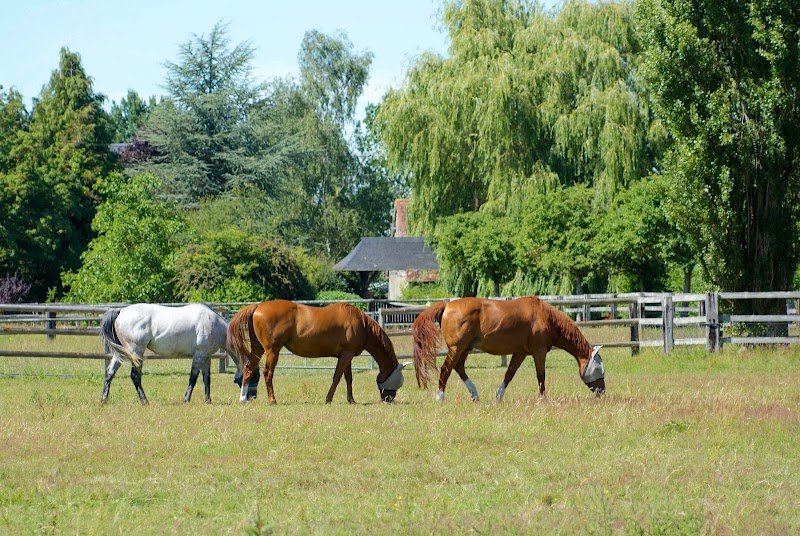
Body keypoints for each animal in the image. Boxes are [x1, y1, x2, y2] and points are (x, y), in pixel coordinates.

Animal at [99, 303, 232, 404]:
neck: (212, 323)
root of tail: (121, 311)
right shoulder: (199, 356)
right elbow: (193, 378)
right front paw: (186, 400)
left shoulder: (206, 357)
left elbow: (207, 379)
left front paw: (208, 401)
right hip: (136, 352)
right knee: (135, 376)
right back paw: (145, 401)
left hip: (121, 353)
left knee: (110, 373)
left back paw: (103, 400)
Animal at [226, 300, 405, 404]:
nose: (389, 399)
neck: (360, 322)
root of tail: (258, 306)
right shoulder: (346, 355)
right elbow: (337, 377)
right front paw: (329, 399)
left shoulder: (347, 356)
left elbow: (348, 378)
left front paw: (351, 400)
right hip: (272, 351)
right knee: (267, 374)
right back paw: (272, 400)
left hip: (258, 349)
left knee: (248, 369)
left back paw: (243, 399)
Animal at [412, 296, 605, 402]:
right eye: (599, 368)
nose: (602, 392)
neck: (545, 317)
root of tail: (447, 305)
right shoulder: (539, 352)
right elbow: (541, 376)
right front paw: (543, 399)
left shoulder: (521, 353)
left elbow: (509, 374)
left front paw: (499, 397)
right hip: (456, 348)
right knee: (446, 369)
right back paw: (440, 397)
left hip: (465, 348)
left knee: (458, 368)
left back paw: (475, 394)